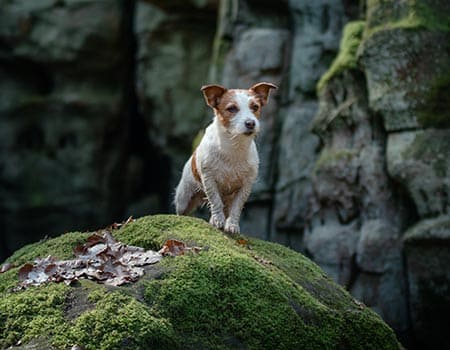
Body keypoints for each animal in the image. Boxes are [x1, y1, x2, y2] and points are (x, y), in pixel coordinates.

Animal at [174, 82, 276, 234]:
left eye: (255, 107)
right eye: (231, 108)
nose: (251, 123)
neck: (233, 146)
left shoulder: (245, 186)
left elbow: (237, 207)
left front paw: (232, 224)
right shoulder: (209, 179)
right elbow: (215, 201)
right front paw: (218, 220)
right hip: (184, 198)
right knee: (183, 211)